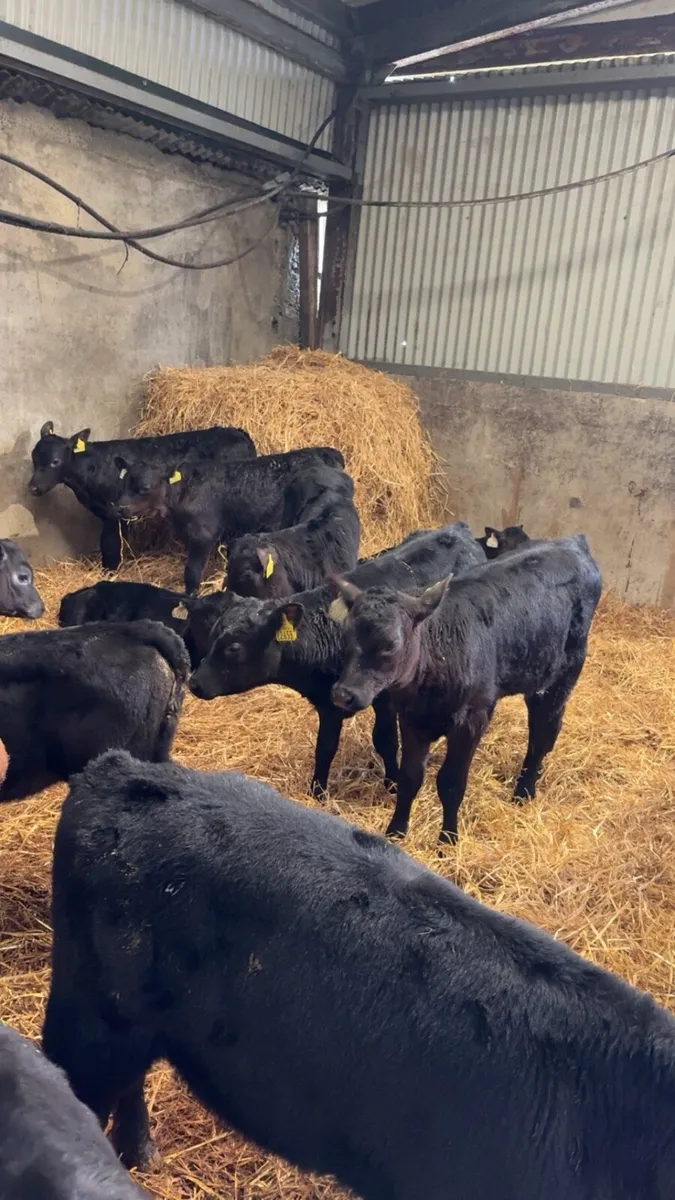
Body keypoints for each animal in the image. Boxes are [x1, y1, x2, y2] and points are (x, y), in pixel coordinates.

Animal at [29, 422, 256, 571]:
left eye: (55, 461)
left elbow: (110, 544)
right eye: (33, 458)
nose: (33, 488)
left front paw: (110, 571)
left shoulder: (113, 514)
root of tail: (238, 432)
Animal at [114, 446, 346, 594]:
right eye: (123, 483)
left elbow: (192, 572)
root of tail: (325, 451)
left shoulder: (203, 534)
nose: (119, 507)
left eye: (144, 488)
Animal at [189, 523, 486, 795]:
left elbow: (385, 740)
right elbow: (325, 747)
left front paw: (392, 783)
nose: (194, 683)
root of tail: (456, 529)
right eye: (213, 634)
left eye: (234, 647)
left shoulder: (386, 698)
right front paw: (317, 792)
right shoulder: (328, 704)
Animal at [330, 535, 602, 843]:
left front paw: (447, 839)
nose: (343, 693)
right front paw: (396, 832)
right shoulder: (411, 719)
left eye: (390, 644)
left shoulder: (471, 719)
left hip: (562, 675)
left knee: (544, 732)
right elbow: (410, 778)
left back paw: (524, 791)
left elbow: (451, 782)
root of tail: (573, 542)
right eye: (347, 635)